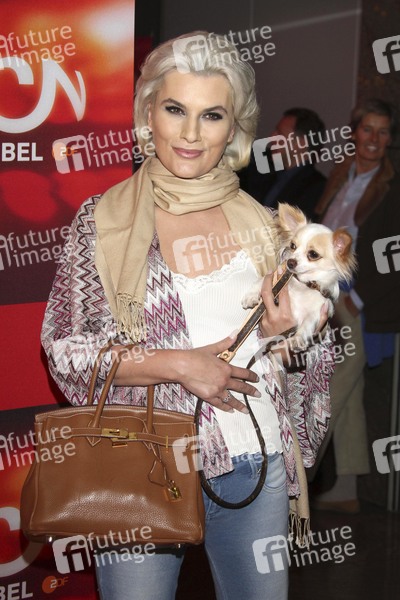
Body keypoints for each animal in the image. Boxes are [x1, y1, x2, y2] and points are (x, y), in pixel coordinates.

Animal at [242, 203, 357, 351]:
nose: (290, 262)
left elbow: (308, 323)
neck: (302, 285)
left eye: (313, 254)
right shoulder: (277, 278)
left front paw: (298, 339)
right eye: (293, 246)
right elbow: (262, 280)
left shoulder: (317, 311)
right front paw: (251, 296)